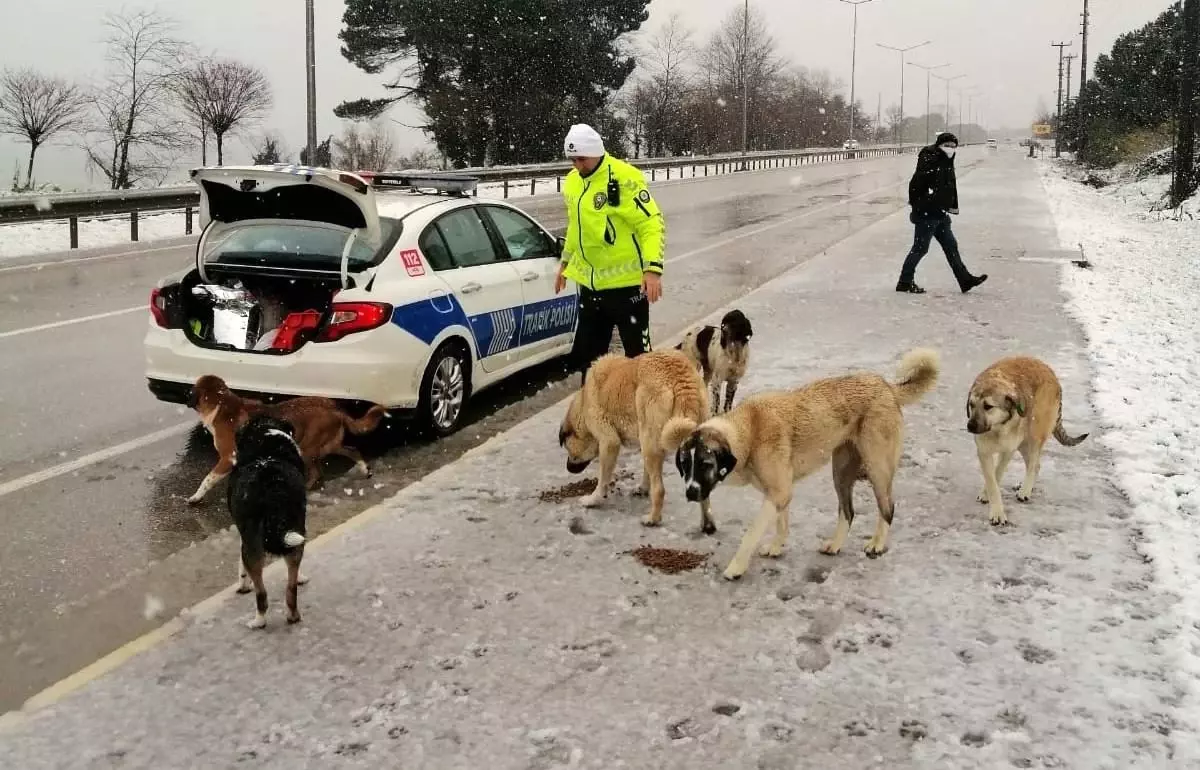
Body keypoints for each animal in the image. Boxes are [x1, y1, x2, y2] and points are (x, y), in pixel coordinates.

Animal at [186, 374, 388, 503]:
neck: (222, 405)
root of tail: (335, 408)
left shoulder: (228, 457)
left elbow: (207, 479)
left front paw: (195, 497)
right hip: (329, 445)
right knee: (351, 450)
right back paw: (365, 469)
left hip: (307, 448)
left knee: (317, 473)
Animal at [226, 412, 307, 623]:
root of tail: (272, 488)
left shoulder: (244, 535)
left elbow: (241, 564)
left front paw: (242, 584)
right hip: (296, 528)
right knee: (291, 586)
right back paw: (293, 615)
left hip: (252, 544)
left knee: (261, 593)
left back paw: (258, 621)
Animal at [559, 350, 715, 530]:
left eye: (569, 451)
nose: (568, 468)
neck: (583, 403)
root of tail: (680, 378)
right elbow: (645, 472)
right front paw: (643, 488)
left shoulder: (609, 442)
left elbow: (603, 479)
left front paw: (593, 499)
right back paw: (707, 524)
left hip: (650, 442)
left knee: (659, 490)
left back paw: (652, 519)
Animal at [676, 345, 936, 575]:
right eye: (685, 465)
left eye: (705, 465)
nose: (690, 493)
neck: (747, 430)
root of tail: (886, 386)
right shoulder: (779, 493)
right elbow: (782, 523)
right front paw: (776, 547)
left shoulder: (778, 493)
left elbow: (752, 532)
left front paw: (736, 568)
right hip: (841, 471)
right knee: (848, 511)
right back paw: (835, 545)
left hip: (877, 468)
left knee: (887, 507)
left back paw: (877, 544)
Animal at [964, 352, 1089, 522]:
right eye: (971, 405)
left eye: (988, 406)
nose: (970, 426)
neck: (998, 427)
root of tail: (1050, 372)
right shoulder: (984, 452)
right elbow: (991, 479)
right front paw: (990, 499)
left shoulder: (1008, 451)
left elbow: (997, 474)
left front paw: (996, 511)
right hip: (1023, 441)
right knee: (1036, 464)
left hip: (1036, 432)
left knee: (1034, 463)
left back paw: (1025, 490)